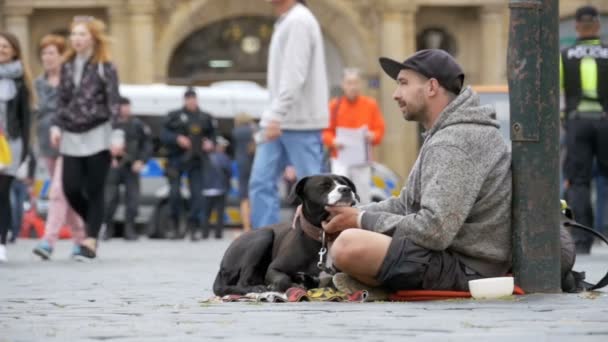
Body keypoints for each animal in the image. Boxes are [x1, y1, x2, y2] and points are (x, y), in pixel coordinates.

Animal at [213, 175, 358, 296]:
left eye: (344, 183)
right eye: (324, 185)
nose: (346, 189)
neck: (323, 236)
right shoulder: (274, 269)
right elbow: (283, 279)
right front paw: (286, 286)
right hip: (263, 235)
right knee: (242, 282)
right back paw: (257, 288)